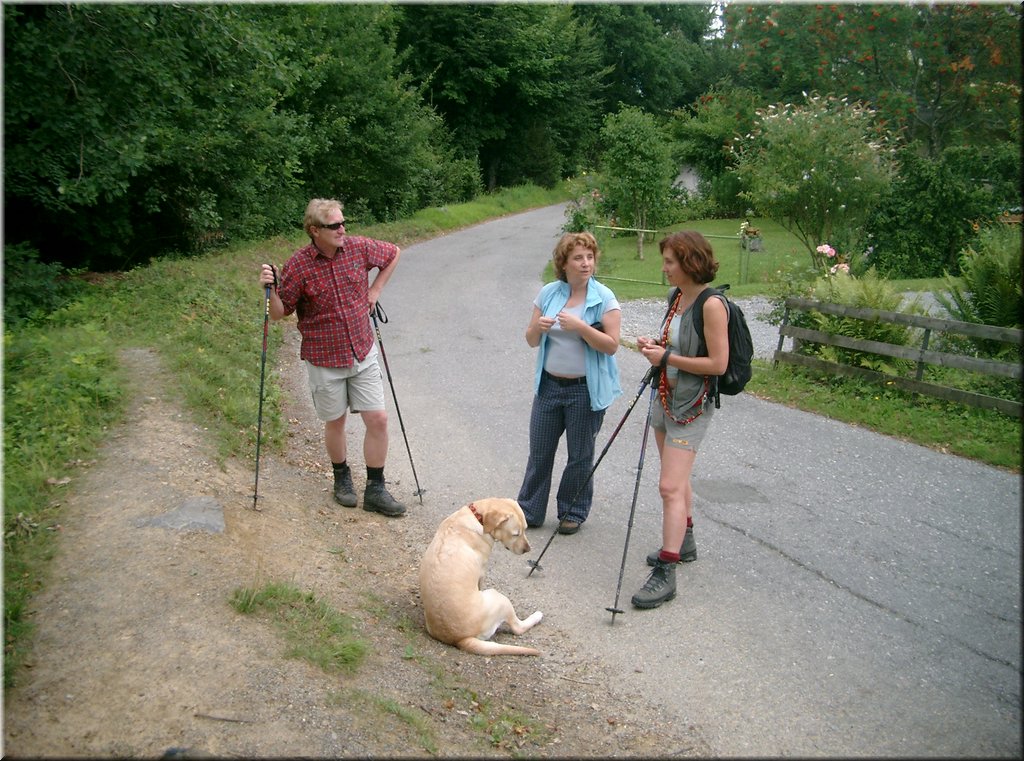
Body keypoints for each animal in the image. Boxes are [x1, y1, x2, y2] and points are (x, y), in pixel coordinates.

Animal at [415, 499, 544, 655]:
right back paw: (537, 616)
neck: (478, 516)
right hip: (499, 598)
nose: (527, 550)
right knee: (518, 628)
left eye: (525, 529)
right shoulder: (481, 572)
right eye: (515, 534)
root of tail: (461, 639)